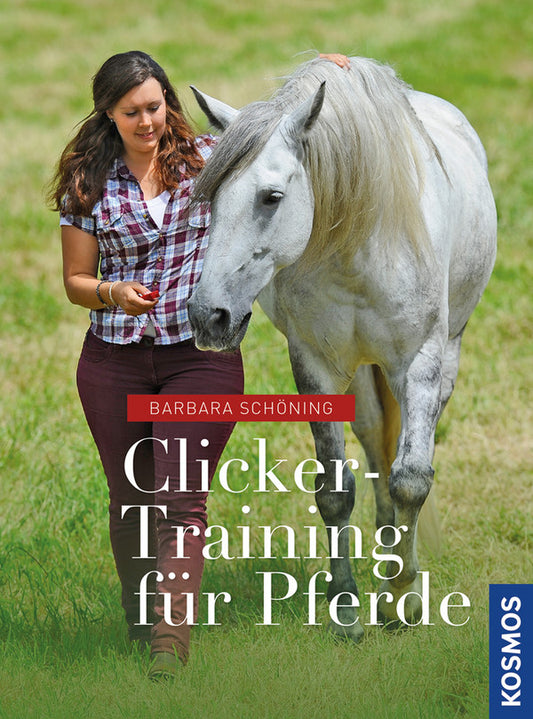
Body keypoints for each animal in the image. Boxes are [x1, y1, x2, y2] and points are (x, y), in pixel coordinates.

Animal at [187, 56, 497, 640]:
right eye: (210, 198)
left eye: (272, 197)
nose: (206, 315)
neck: (358, 249)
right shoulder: (315, 365)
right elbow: (335, 491)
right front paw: (348, 607)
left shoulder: (419, 361)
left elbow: (412, 480)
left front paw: (402, 601)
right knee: (376, 444)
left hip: (444, 357)